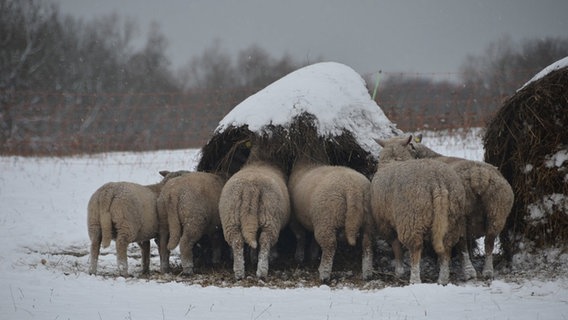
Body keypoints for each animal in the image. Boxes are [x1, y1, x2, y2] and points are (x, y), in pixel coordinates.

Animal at [216, 142, 288, 280]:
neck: (260, 160)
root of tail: (250, 187)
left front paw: (253, 258)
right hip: (270, 218)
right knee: (265, 241)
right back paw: (262, 271)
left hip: (230, 217)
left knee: (238, 241)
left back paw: (239, 272)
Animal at [288, 151, 372, 282]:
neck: (309, 162)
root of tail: (353, 188)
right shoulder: (315, 220)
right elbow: (312, 239)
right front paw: (312, 254)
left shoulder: (295, 218)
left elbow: (300, 236)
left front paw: (299, 256)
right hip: (367, 219)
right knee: (367, 243)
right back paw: (368, 273)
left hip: (327, 219)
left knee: (329, 246)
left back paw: (324, 273)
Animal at [372, 136, 466, 284]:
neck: (394, 160)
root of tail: (437, 181)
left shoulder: (384, 223)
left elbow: (395, 245)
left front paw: (399, 271)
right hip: (452, 218)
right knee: (446, 247)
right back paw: (443, 279)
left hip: (412, 219)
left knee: (415, 249)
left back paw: (415, 279)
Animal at [408, 134, 516, 278]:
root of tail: (479, 175)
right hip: (497, 211)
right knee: (489, 242)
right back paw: (487, 271)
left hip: (460, 214)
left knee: (462, 242)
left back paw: (468, 271)